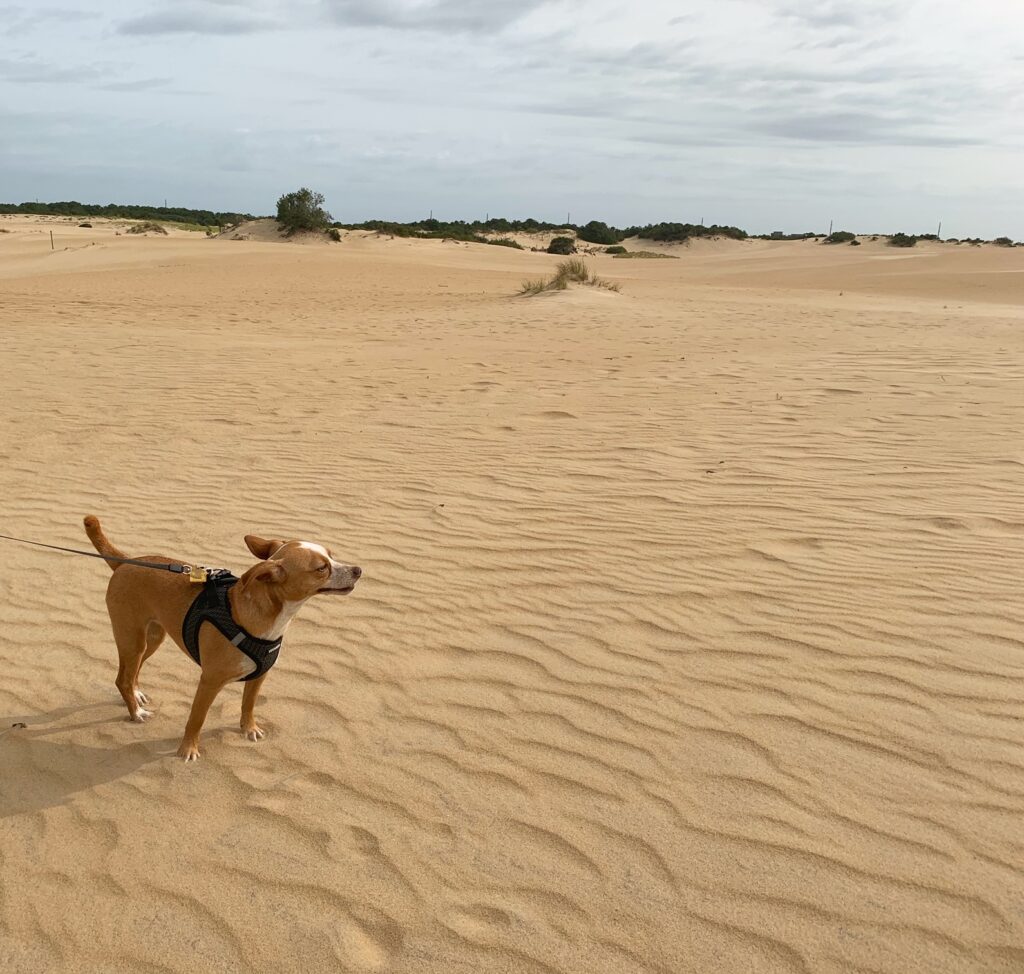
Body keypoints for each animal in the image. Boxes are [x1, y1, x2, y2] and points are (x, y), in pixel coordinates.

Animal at [84, 518, 364, 761]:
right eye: (321, 568)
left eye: (331, 554)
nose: (358, 570)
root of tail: (125, 562)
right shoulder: (209, 681)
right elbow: (196, 718)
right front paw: (188, 749)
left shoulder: (260, 676)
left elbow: (248, 705)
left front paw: (248, 728)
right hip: (132, 639)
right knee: (122, 678)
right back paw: (136, 712)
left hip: (152, 638)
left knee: (133, 672)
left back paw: (137, 695)